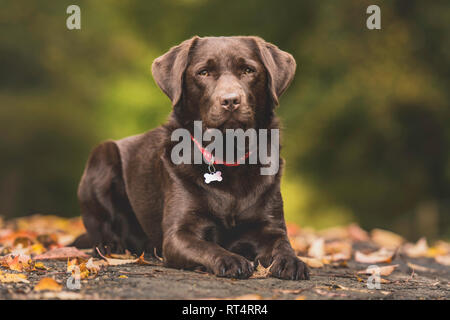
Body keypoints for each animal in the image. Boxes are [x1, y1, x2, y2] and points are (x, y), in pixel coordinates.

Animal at [76, 35, 310, 280]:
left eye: (248, 70)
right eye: (203, 72)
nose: (230, 101)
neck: (229, 153)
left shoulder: (270, 227)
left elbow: (282, 244)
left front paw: (292, 261)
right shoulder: (179, 234)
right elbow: (208, 247)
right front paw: (232, 259)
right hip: (102, 158)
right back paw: (112, 246)